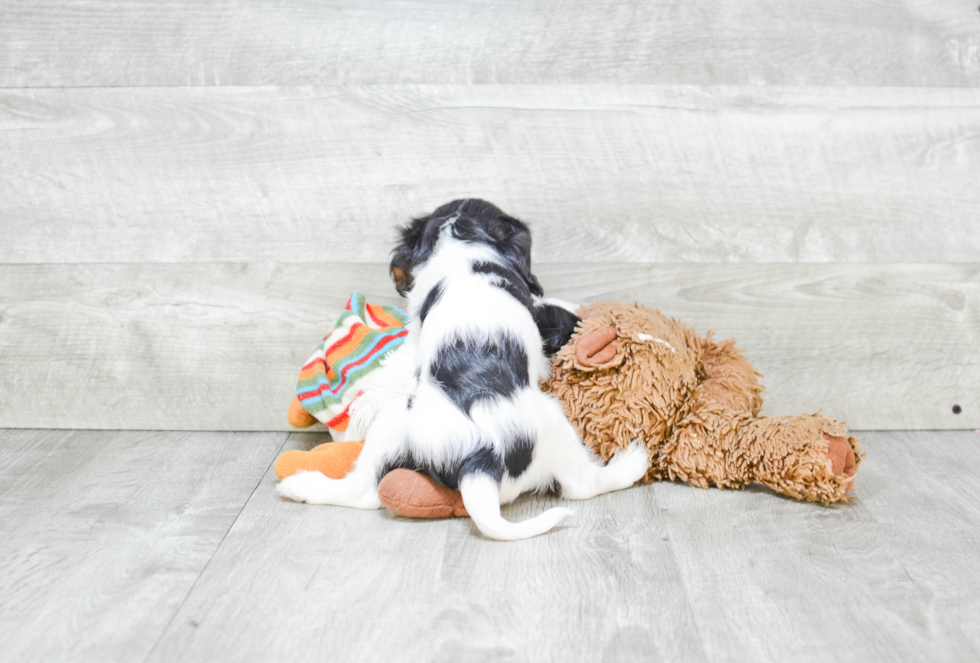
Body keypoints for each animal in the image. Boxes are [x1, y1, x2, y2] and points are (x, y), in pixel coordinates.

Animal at [276, 198, 652, 540]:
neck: (461, 247)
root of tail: (479, 458)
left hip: (396, 418)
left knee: (364, 490)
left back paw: (300, 486)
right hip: (553, 423)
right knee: (583, 485)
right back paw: (632, 462)